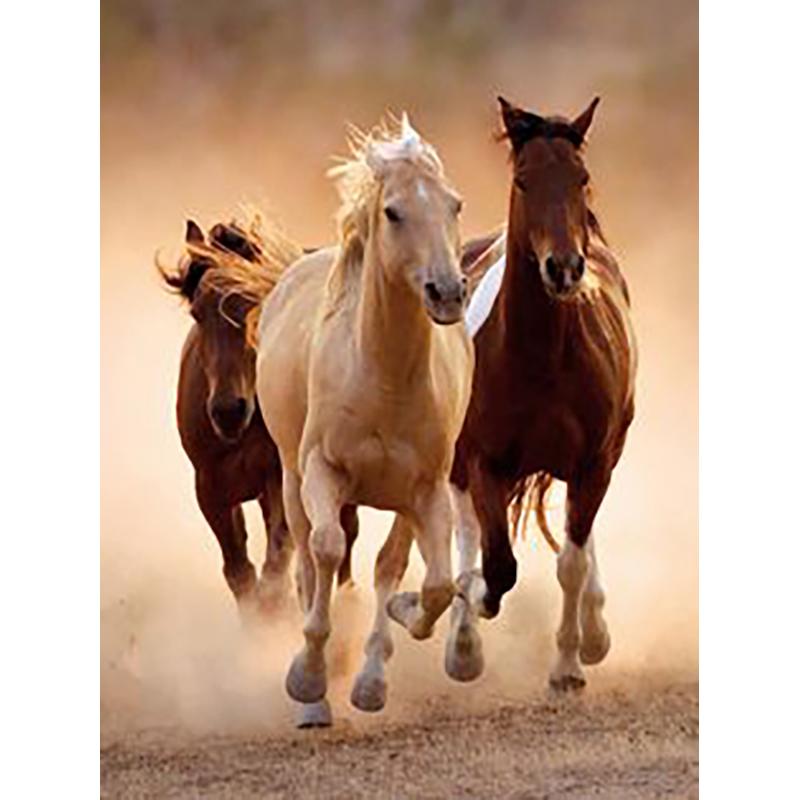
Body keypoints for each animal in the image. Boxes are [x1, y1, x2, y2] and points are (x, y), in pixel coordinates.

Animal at [158, 216, 360, 623]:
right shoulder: (210, 488)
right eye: (197, 313)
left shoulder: (279, 478)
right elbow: (241, 574)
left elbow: (275, 571)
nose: (227, 411)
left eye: (256, 305)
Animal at [245, 115, 473, 725]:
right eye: (393, 211)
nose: (448, 292)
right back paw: (315, 699)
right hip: (291, 479)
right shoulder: (322, 472)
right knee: (307, 558)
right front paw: (306, 678)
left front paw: (396, 630)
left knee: (387, 563)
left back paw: (369, 676)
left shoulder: (427, 491)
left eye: (455, 205)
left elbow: (432, 584)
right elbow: (325, 551)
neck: (384, 379)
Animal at [449, 96, 637, 691]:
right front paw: (471, 604)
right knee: (465, 529)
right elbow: (497, 566)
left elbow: (571, 561)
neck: (544, 358)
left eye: (581, 178)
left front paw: (570, 664)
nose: (564, 268)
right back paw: (462, 644)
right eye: (524, 180)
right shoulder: (485, 462)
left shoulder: (593, 462)